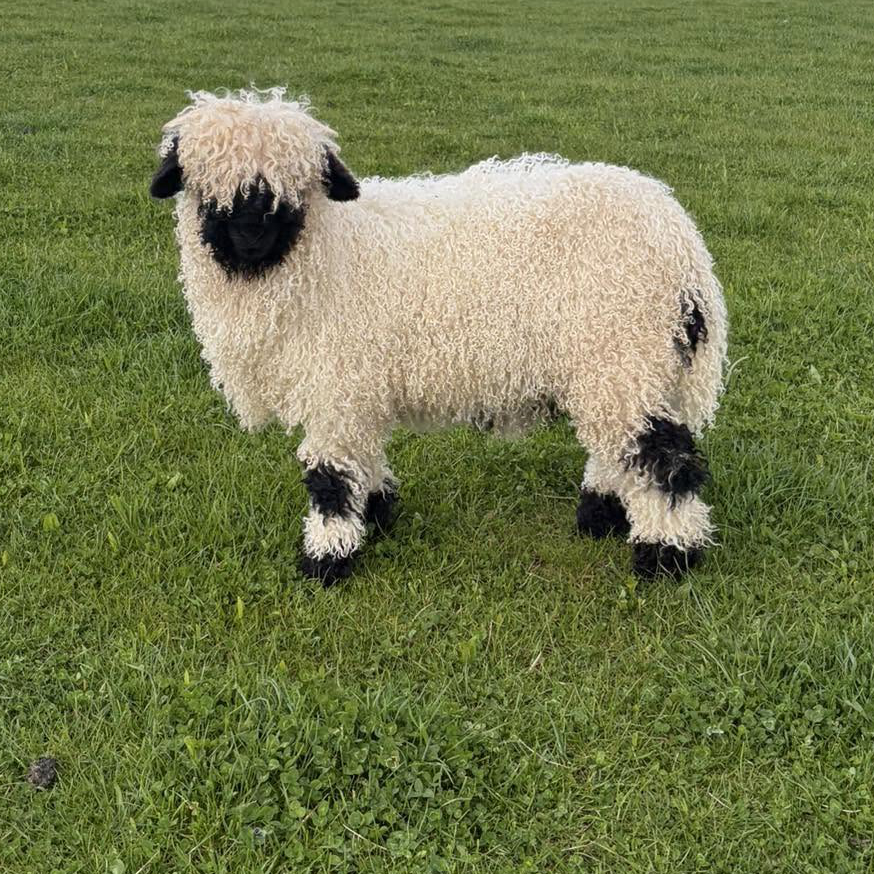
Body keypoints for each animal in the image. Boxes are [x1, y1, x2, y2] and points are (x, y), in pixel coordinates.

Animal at [149, 88, 728, 586]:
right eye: (203, 188)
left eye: (293, 191)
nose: (251, 239)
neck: (318, 253)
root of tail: (682, 244)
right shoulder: (357, 387)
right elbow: (363, 459)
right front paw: (376, 514)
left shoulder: (336, 382)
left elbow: (331, 477)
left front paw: (327, 560)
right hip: (617, 364)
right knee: (618, 444)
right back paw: (602, 513)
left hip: (622, 345)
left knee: (663, 458)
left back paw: (666, 554)